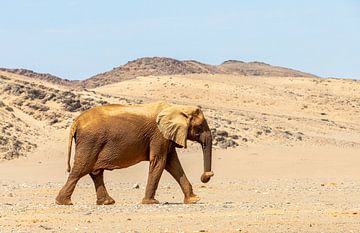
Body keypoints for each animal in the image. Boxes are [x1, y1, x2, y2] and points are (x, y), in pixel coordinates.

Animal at [55, 101, 214, 205]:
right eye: (200, 127)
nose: (206, 175)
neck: (176, 108)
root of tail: (76, 121)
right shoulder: (158, 135)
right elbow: (160, 162)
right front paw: (151, 202)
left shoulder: (166, 136)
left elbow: (172, 163)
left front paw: (194, 200)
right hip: (90, 141)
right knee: (80, 169)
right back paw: (64, 202)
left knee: (95, 172)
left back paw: (107, 202)